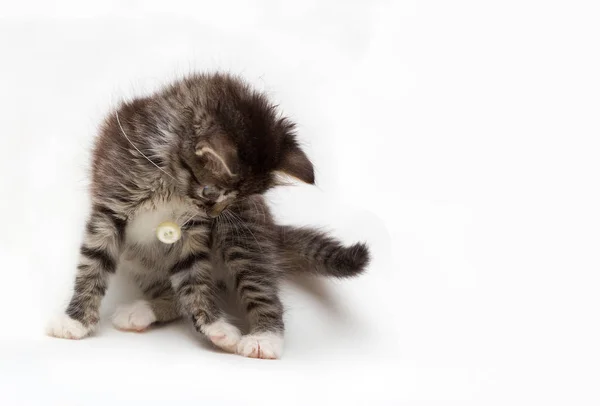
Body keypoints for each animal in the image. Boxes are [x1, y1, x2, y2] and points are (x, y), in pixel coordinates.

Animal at [47, 73, 368, 358]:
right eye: (210, 191)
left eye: (237, 198)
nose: (216, 212)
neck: (170, 182)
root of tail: (271, 228)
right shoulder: (111, 207)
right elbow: (93, 263)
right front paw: (75, 321)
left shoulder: (192, 229)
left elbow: (194, 278)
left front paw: (215, 327)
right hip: (138, 257)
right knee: (174, 298)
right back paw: (143, 310)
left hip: (242, 236)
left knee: (260, 286)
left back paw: (265, 339)